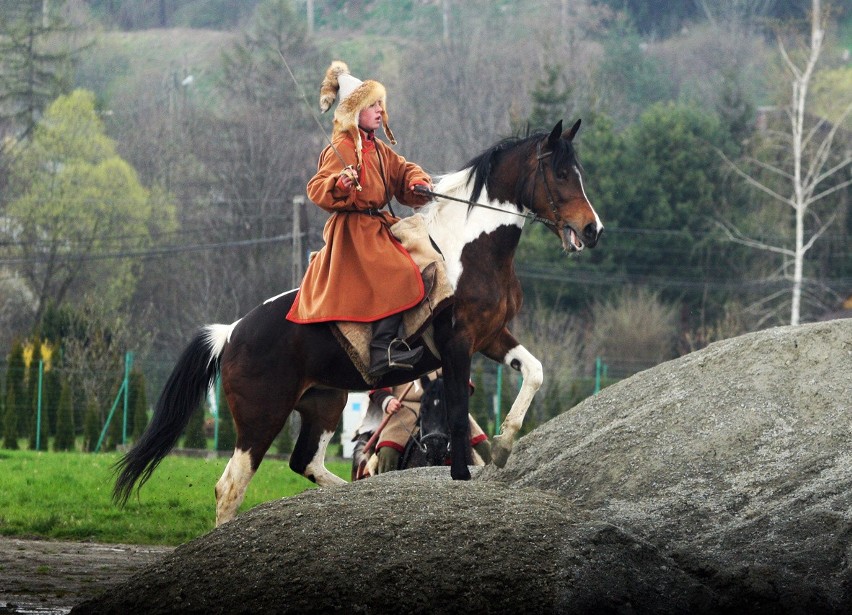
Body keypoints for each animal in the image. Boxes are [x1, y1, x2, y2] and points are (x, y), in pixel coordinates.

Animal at [115, 120, 604, 524]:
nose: (593, 229)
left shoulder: (490, 336)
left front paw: (504, 443)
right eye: (562, 174)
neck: (469, 249)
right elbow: (458, 415)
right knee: (230, 487)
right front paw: (464, 474)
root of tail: (231, 333)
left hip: (323, 405)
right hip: (260, 420)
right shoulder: (458, 343)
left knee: (305, 463)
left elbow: (534, 372)